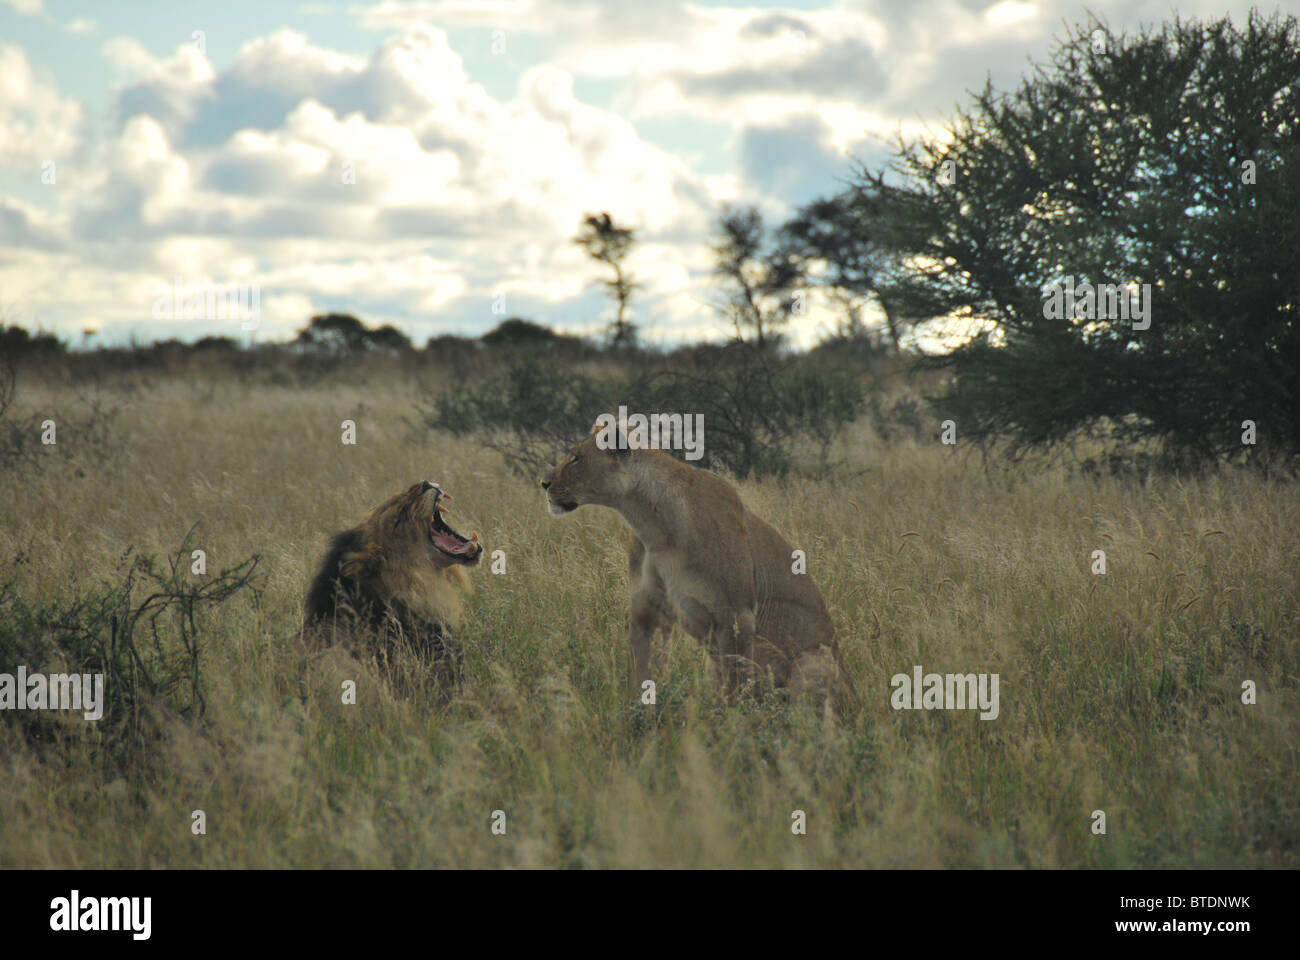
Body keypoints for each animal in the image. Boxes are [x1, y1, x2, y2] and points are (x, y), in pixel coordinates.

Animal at [538, 426, 852, 712]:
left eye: (576, 458)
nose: (543, 482)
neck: (650, 525)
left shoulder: (737, 618)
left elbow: (735, 695)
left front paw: (734, 727)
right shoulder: (646, 614)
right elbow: (641, 678)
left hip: (813, 659)